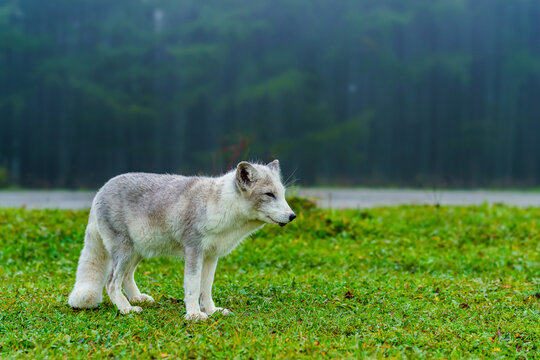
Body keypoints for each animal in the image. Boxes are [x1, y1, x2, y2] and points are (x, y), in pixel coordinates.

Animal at [68, 160, 298, 320]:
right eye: (269, 194)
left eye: (282, 194)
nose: (292, 216)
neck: (221, 206)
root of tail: (99, 192)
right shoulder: (194, 251)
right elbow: (193, 287)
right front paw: (194, 315)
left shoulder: (211, 256)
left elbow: (206, 288)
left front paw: (211, 311)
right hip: (125, 252)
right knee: (111, 283)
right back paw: (126, 309)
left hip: (137, 252)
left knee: (125, 278)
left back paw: (136, 298)